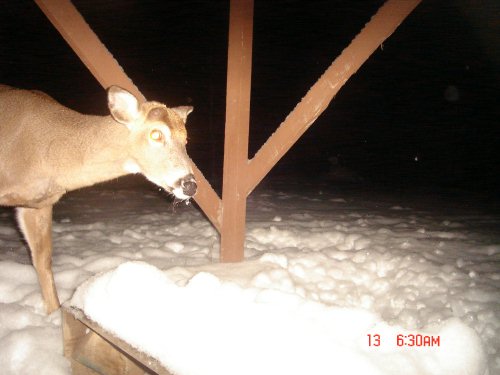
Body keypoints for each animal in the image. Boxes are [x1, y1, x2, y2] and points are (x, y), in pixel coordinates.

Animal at [0, 85, 198, 314]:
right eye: (156, 134)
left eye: (185, 140)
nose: (190, 185)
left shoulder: (38, 204)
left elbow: (42, 260)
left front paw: (54, 314)